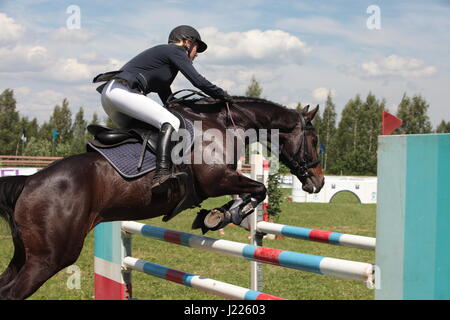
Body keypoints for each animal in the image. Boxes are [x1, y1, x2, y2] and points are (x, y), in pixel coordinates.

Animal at [0, 96, 324, 298]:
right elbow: (258, 190)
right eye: (314, 140)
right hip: (50, 257)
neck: (226, 124)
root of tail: (28, 181)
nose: (318, 182)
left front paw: (214, 216)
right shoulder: (216, 180)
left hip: (25, 254)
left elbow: (255, 191)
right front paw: (221, 215)